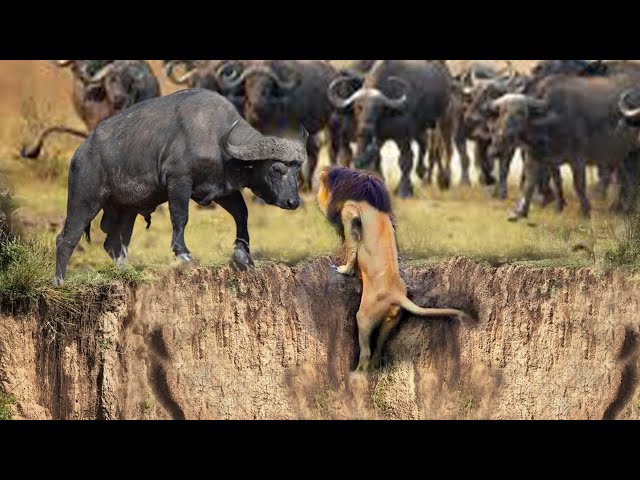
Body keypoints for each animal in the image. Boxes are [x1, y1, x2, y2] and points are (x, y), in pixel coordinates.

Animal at [52, 88, 308, 286]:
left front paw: (242, 256)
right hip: (84, 200)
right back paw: (59, 281)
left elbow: (241, 214)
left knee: (114, 244)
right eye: (276, 168)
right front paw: (183, 254)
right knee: (66, 238)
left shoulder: (221, 189)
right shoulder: (179, 181)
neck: (218, 139)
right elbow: (180, 217)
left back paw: (127, 272)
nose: (293, 202)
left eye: (297, 170)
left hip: (125, 210)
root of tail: (80, 152)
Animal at [318, 167, 472, 374]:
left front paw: (343, 270)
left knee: (366, 352)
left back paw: (357, 372)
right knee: (378, 349)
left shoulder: (349, 214)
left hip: (365, 315)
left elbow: (351, 248)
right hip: (392, 319)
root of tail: (397, 295)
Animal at [330, 59, 450, 197]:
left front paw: (404, 191)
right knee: (423, 144)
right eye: (358, 107)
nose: (366, 128)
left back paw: (439, 178)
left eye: (378, 108)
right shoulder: (372, 138)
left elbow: (405, 160)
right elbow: (372, 158)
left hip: (439, 123)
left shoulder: (403, 136)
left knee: (436, 149)